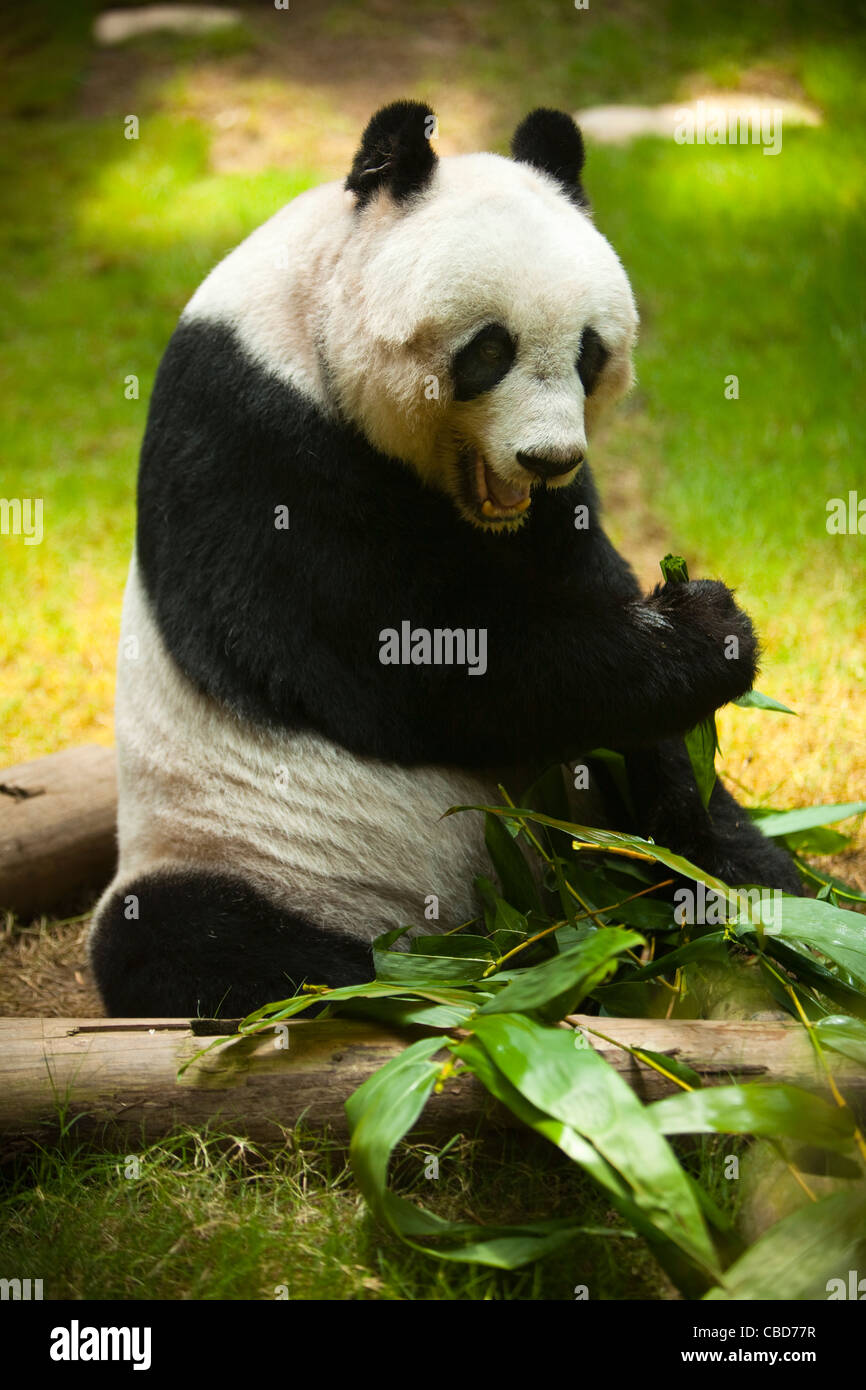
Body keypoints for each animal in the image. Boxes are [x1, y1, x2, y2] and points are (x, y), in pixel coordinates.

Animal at [88, 95, 800, 1011]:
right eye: (489, 350)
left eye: (589, 351)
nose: (547, 458)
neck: (309, 317)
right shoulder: (251, 436)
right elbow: (401, 660)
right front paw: (705, 632)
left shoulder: (549, 519)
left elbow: (635, 721)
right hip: (232, 848)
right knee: (191, 943)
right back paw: (415, 983)